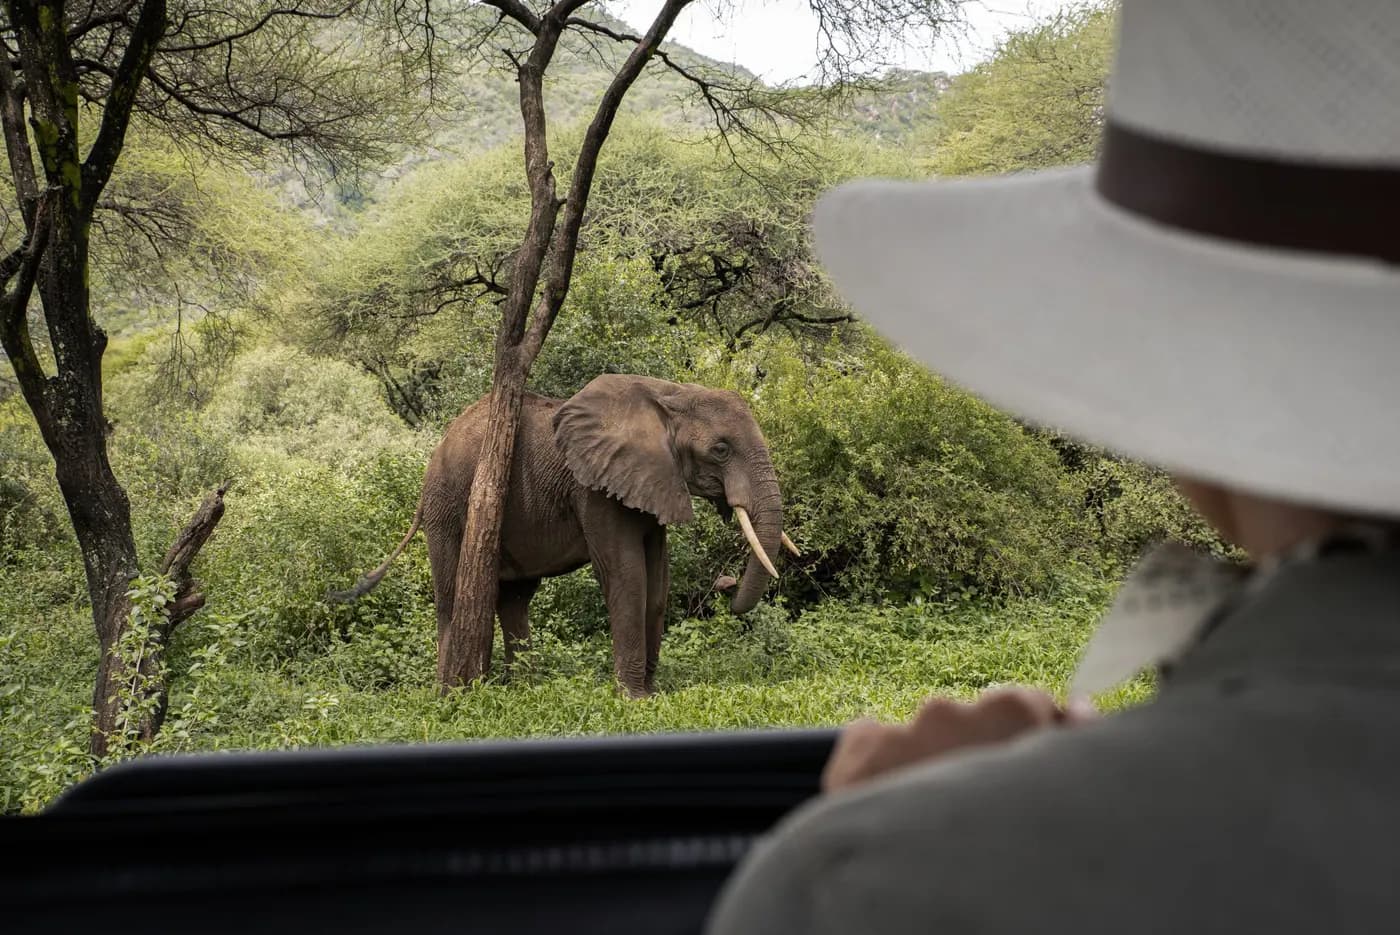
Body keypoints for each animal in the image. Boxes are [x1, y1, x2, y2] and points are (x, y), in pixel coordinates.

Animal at [334, 374, 796, 698]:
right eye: (720, 450)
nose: (725, 584)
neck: (668, 393)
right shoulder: (593, 488)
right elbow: (628, 576)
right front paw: (636, 699)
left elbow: (658, 580)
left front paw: (651, 690)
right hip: (448, 507)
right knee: (453, 597)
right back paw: (453, 695)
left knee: (514, 598)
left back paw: (523, 688)